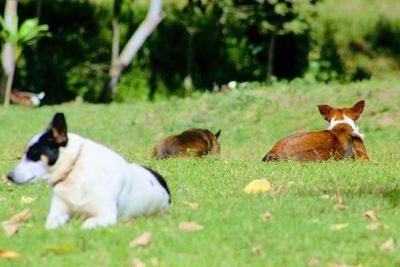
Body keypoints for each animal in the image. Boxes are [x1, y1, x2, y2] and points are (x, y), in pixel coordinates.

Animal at [7, 113, 170, 230]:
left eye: (33, 154)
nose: (9, 176)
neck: (75, 176)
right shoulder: (58, 212)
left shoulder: (106, 215)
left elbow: (87, 224)